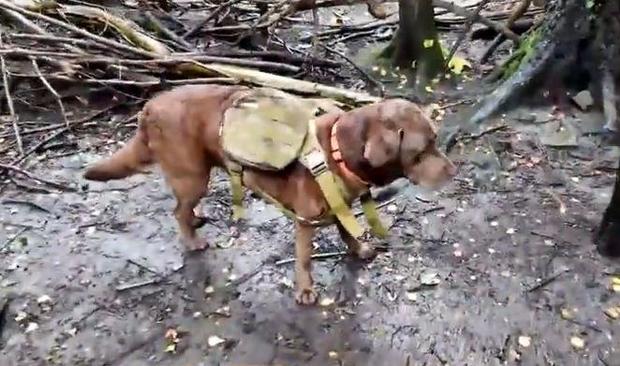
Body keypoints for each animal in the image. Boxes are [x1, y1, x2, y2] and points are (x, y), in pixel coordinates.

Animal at [83, 84, 456, 304]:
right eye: (422, 150)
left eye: (435, 140)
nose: (453, 171)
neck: (338, 150)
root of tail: (149, 107)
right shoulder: (305, 222)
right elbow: (304, 259)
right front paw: (305, 291)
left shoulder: (342, 204)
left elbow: (347, 229)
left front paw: (360, 249)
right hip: (192, 175)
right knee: (178, 211)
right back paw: (192, 240)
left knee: (184, 209)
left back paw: (198, 220)